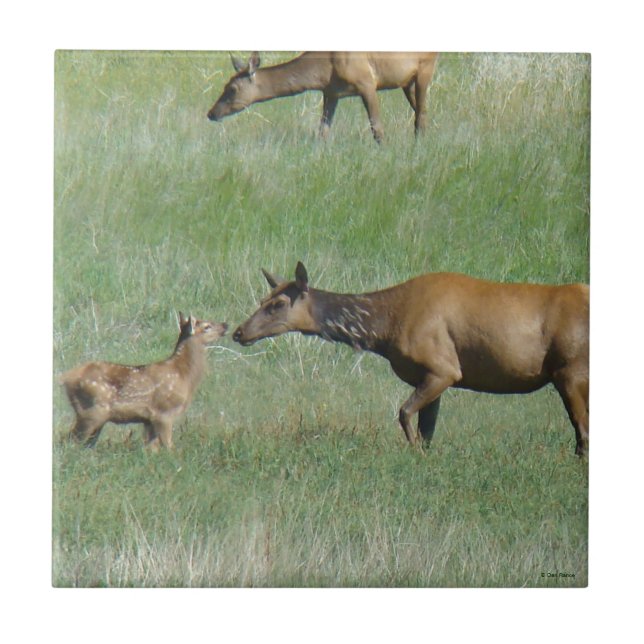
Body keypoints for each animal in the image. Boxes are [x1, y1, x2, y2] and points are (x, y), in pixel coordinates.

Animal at [60, 314, 228, 450]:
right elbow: (169, 447)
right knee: (70, 441)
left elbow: (151, 449)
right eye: (207, 326)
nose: (225, 324)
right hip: (91, 410)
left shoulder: (149, 420)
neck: (184, 375)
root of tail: (65, 377)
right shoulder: (164, 412)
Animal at [207, 51, 439, 143]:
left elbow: (377, 129)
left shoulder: (366, 82)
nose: (211, 113)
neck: (324, 71)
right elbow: (322, 132)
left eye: (232, 88)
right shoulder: (331, 93)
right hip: (406, 82)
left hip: (425, 68)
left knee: (421, 116)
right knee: (421, 113)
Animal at [233, 262, 590, 457]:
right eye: (262, 299)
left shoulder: (444, 369)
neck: (384, 329)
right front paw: (425, 456)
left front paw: (414, 454)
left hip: (570, 371)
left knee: (582, 429)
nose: (239, 332)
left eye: (277, 304)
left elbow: (404, 414)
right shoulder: (431, 376)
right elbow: (427, 430)